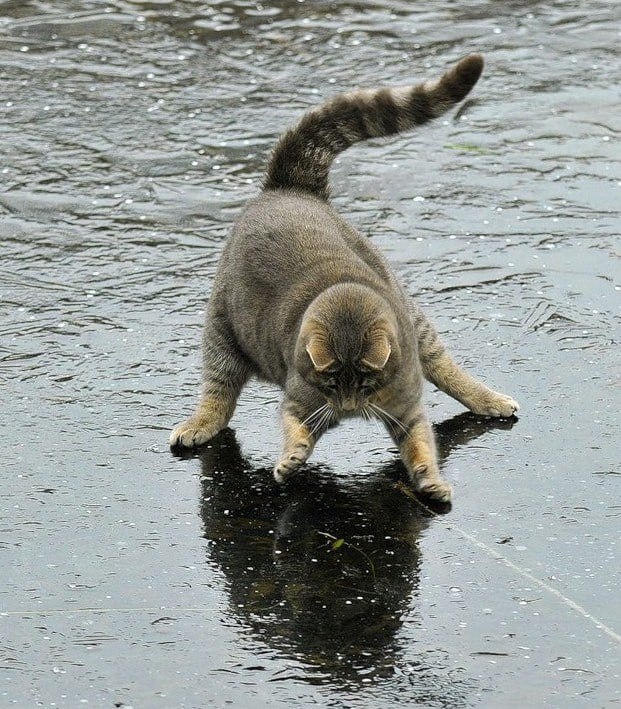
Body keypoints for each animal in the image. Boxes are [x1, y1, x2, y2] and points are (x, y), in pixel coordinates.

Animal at [171, 52, 520, 500]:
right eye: (333, 385)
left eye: (366, 384)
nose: (351, 410)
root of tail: (288, 188)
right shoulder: (300, 398)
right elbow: (295, 426)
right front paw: (294, 454)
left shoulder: (406, 403)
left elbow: (420, 443)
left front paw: (428, 477)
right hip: (222, 329)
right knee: (219, 390)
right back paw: (203, 420)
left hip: (412, 317)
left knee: (444, 364)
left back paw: (484, 397)